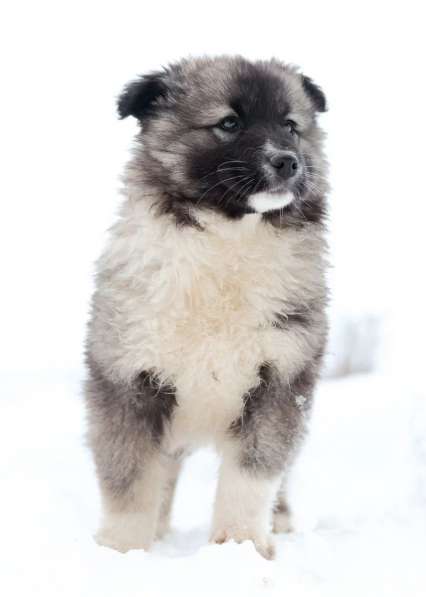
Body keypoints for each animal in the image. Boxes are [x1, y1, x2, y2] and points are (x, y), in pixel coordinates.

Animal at [85, 56, 328, 560]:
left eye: (291, 126)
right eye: (229, 123)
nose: (288, 161)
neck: (227, 239)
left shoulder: (280, 380)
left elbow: (253, 475)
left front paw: (239, 544)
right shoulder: (128, 381)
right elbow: (130, 482)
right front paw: (122, 550)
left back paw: (280, 525)